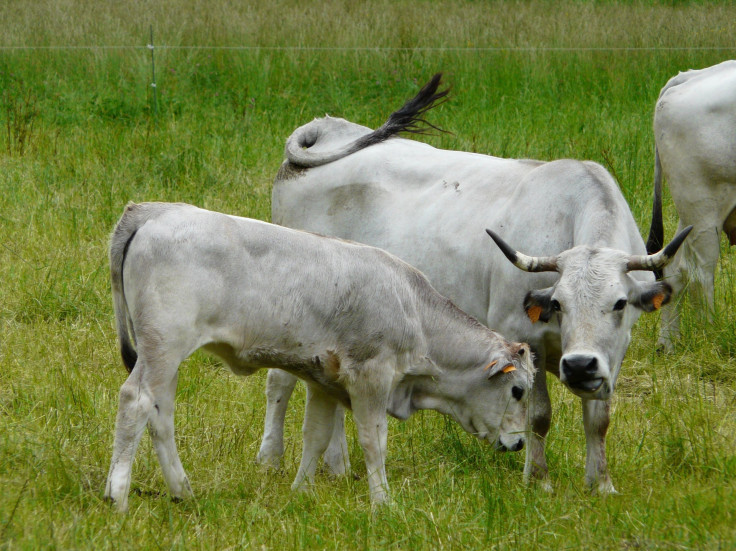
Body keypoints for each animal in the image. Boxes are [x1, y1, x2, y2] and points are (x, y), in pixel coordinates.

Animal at [102, 199, 536, 512]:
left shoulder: (323, 381)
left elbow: (316, 435)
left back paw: (182, 491)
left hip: (163, 357)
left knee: (160, 414)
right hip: (163, 346)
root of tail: (154, 209)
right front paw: (383, 503)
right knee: (135, 401)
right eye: (517, 390)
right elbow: (373, 441)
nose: (518, 444)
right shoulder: (371, 377)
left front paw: (301, 491)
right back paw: (117, 496)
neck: (413, 309)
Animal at [260, 74, 688, 496]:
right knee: (280, 379)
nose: (579, 365)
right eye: (558, 303)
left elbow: (599, 418)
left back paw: (337, 466)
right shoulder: (523, 336)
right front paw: (539, 479)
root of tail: (327, 127)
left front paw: (600, 484)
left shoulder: (613, 352)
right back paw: (271, 459)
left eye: (620, 303)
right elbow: (539, 416)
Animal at [644, 60, 736, 352]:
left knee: (671, 267)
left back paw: (668, 343)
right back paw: (714, 338)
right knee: (699, 274)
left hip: (690, 212)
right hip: (704, 207)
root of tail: (690, 77)